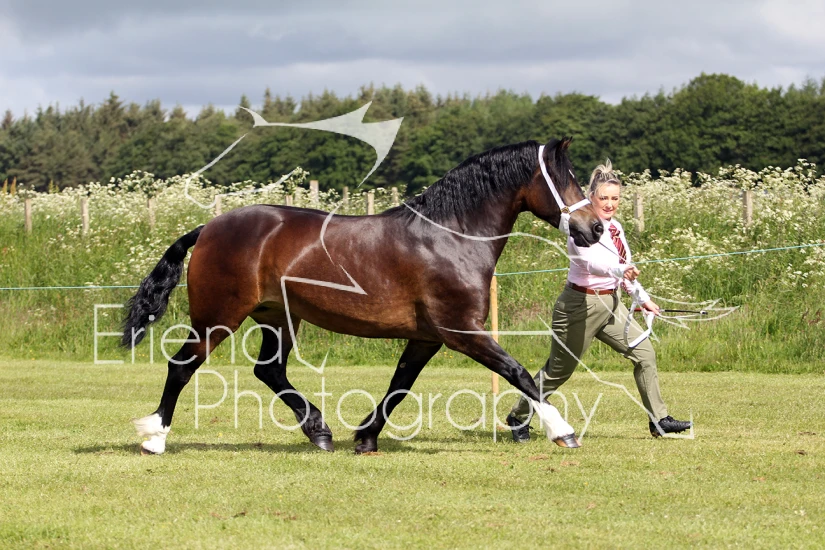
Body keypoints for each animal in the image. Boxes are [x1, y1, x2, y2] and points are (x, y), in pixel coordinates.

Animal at [122, 137, 604, 455]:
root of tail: (209, 228)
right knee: (183, 366)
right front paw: (563, 431)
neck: (451, 236)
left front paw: (366, 437)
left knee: (270, 371)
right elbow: (519, 373)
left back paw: (319, 431)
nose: (596, 227)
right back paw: (155, 438)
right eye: (566, 178)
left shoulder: (427, 337)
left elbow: (399, 386)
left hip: (278, 317)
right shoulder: (462, 331)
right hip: (218, 317)